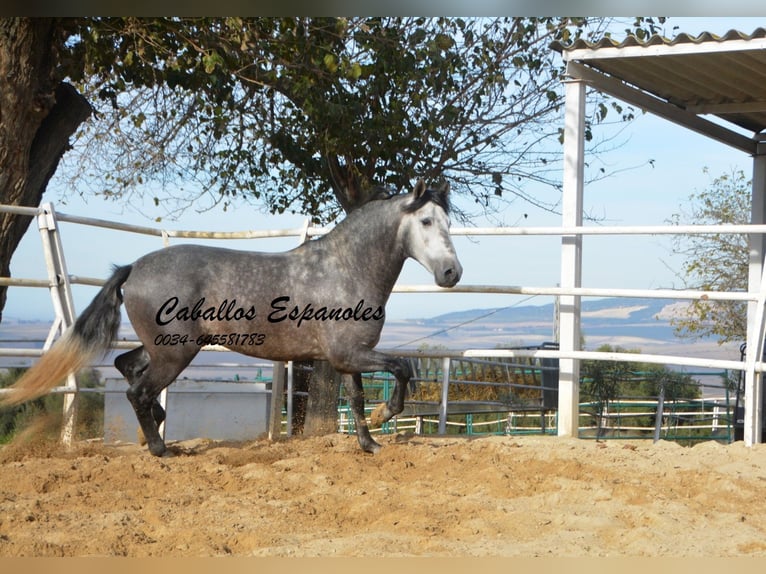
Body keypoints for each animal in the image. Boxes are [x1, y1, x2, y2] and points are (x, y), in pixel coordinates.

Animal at [4, 180, 462, 460]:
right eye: (425, 221)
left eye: (448, 223)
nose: (452, 273)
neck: (344, 268)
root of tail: (134, 268)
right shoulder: (350, 353)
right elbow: (401, 368)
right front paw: (387, 416)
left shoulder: (350, 356)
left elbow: (357, 398)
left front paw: (370, 444)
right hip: (176, 353)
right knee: (138, 390)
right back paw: (160, 449)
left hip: (165, 347)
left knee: (128, 368)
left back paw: (156, 429)